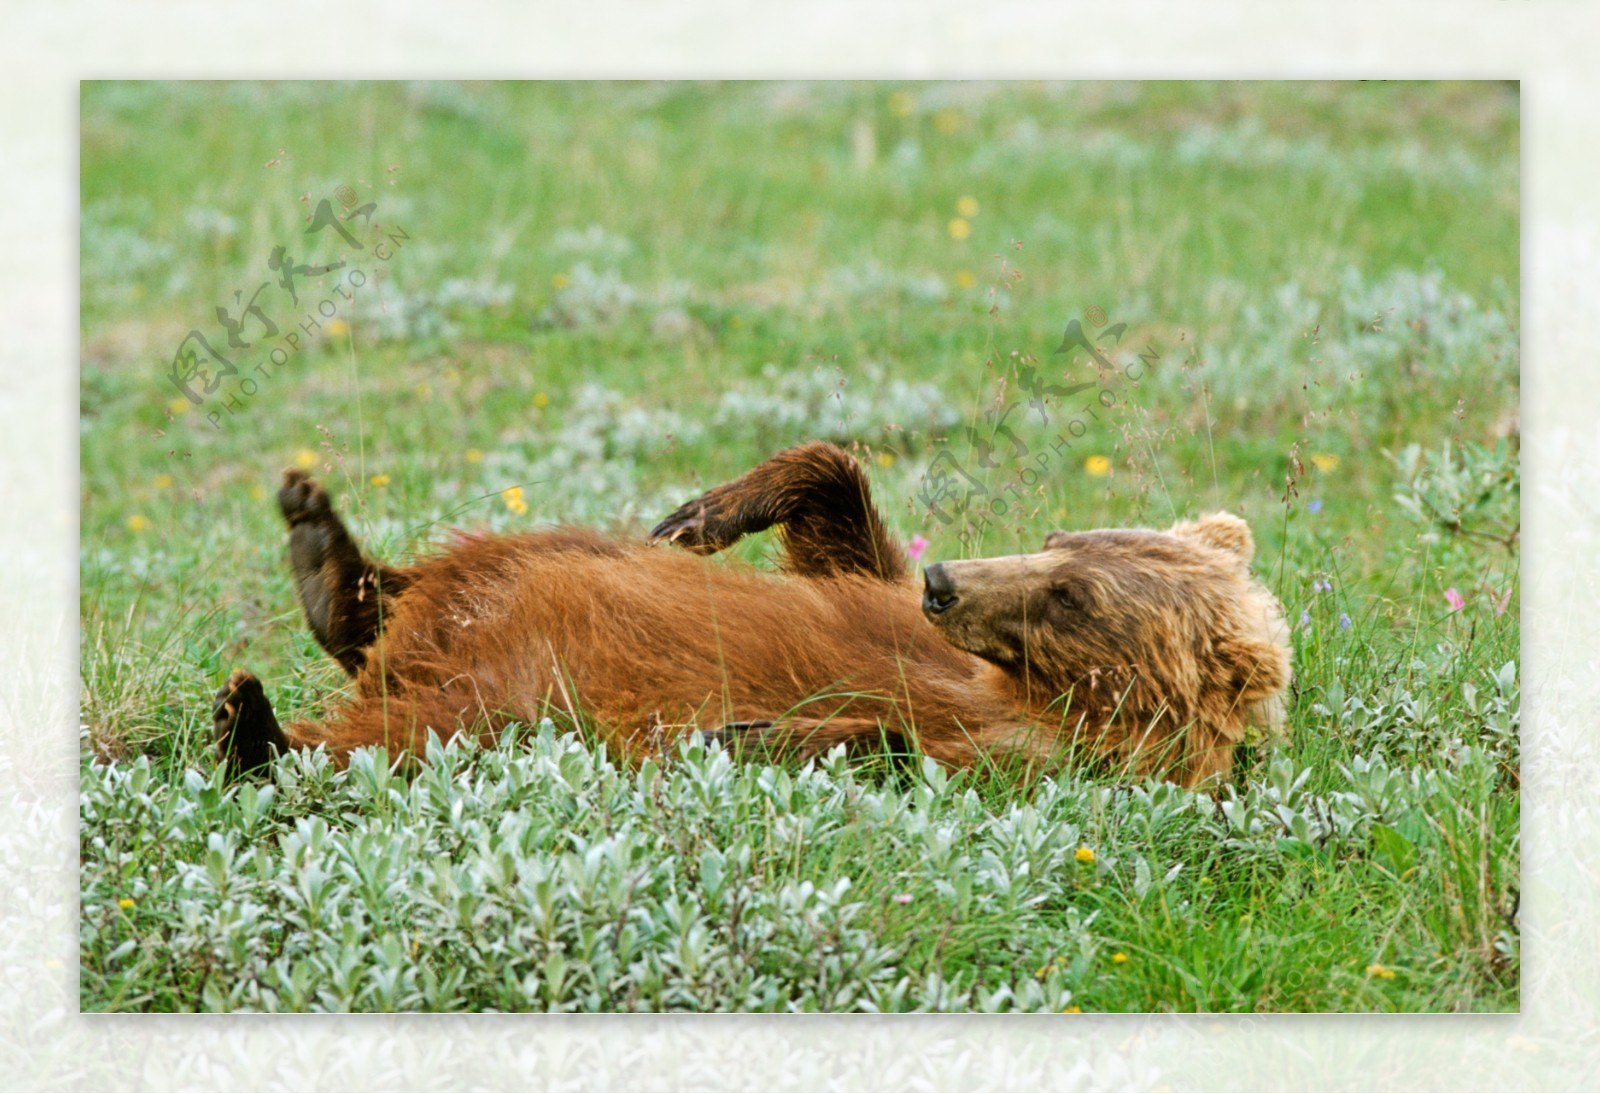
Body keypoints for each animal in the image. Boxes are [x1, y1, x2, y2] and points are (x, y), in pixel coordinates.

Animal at [216, 441, 1286, 790]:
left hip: (508, 702)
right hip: (501, 579)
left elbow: (894, 739)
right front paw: (702, 514)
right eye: (1062, 540)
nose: (946, 585)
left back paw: (252, 723)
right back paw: (319, 546)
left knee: (411, 736)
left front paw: (744, 733)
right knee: (405, 604)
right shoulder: (884, 603)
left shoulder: (1035, 754)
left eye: (1073, 597)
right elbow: (838, 523)